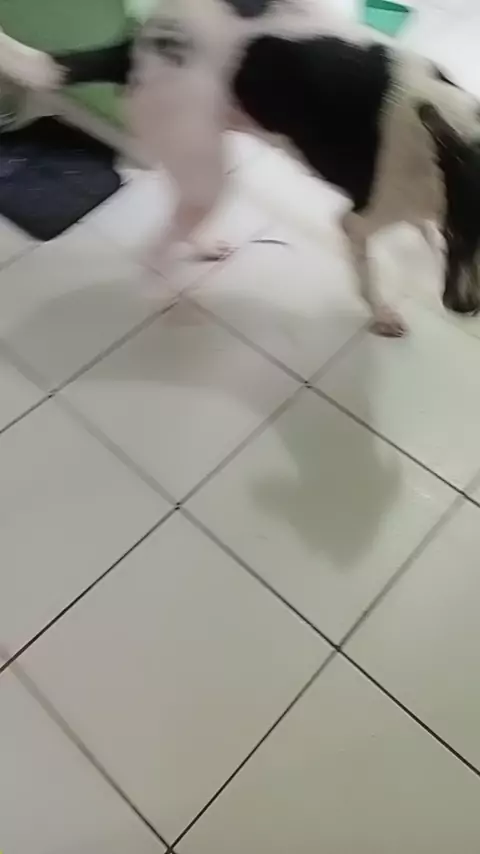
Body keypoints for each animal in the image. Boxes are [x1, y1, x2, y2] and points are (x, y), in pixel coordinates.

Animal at [1, 0, 480, 336]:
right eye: (462, 234)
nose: (463, 308)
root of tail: (138, 46)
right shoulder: (357, 222)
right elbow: (369, 278)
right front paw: (380, 313)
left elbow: (422, 233)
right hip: (204, 172)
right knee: (154, 253)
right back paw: (166, 298)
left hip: (207, 165)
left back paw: (204, 245)